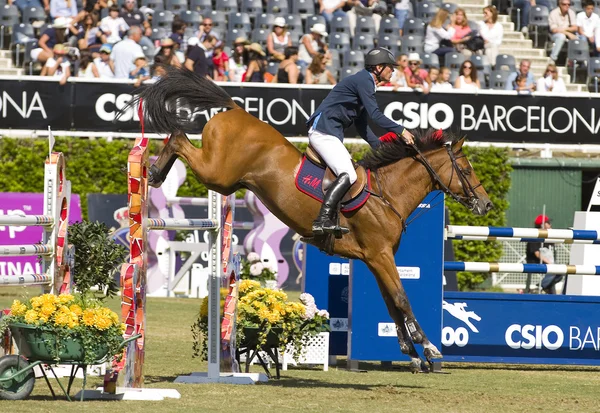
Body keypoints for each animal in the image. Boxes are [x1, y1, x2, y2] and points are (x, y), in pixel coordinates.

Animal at [123, 67, 492, 370]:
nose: (486, 205)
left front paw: (411, 352)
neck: (387, 194)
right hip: (219, 175)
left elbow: (391, 302)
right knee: (178, 137)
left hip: (225, 180)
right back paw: (156, 171)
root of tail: (235, 109)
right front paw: (428, 348)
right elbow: (402, 297)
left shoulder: (376, 258)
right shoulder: (380, 255)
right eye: (467, 169)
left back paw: (156, 171)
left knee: (181, 139)